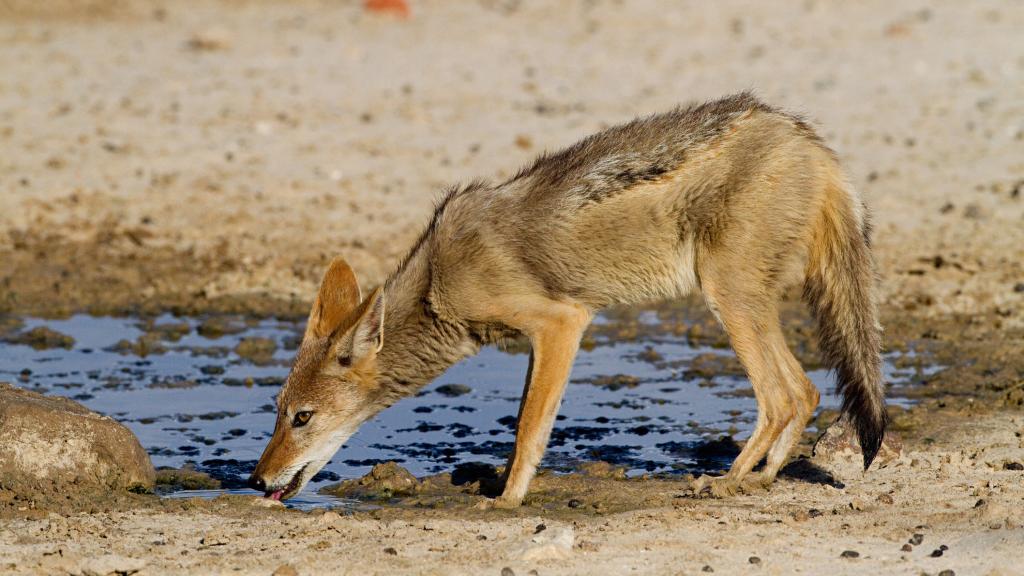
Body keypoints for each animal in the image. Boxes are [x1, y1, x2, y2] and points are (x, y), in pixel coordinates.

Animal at [248, 92, 886, 506]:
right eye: (275, 413)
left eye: (302, 418)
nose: (255, 481)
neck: (437, 281)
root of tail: (807, 137)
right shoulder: (539, 340)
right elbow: (524, 421)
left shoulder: (563, 321)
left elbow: (530, 429)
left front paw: (506, 502)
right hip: (744, 303)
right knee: (805, 392)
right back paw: (760, 479)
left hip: (726, 299)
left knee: (784, 395)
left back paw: (727, 481)